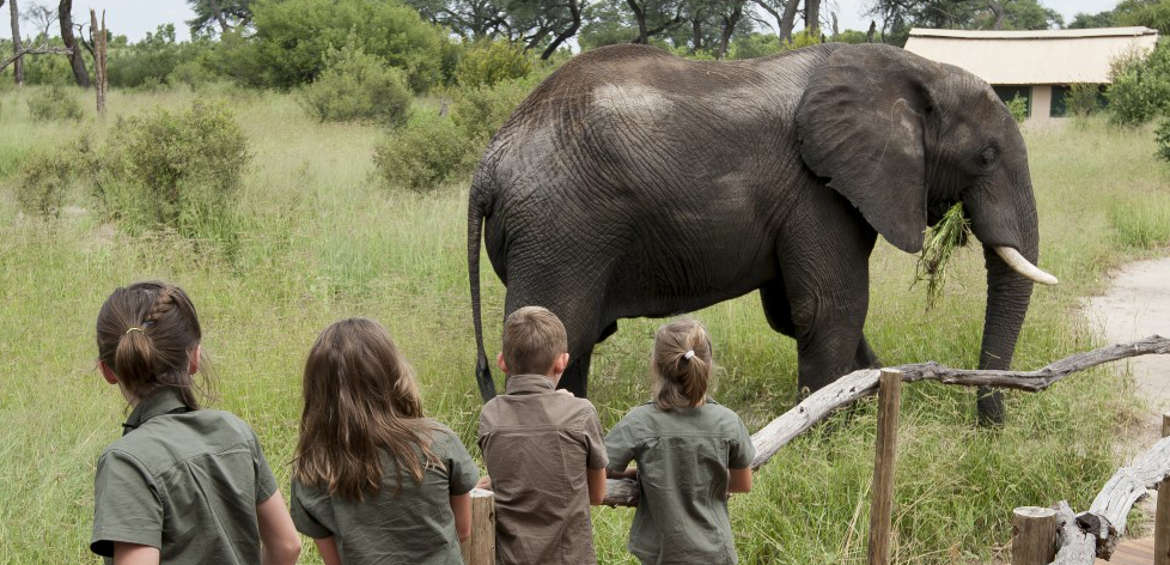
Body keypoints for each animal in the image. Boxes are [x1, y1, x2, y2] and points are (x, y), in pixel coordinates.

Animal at [467, 42, 1057, 424]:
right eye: (986, 157)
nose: (990, 426)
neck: (919, 69)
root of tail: (487, 167)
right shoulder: (817, 189)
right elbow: (828, 306)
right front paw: (829, 433)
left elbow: (792, 315)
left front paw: (866, 397)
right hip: (561, 229)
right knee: (561, 330)